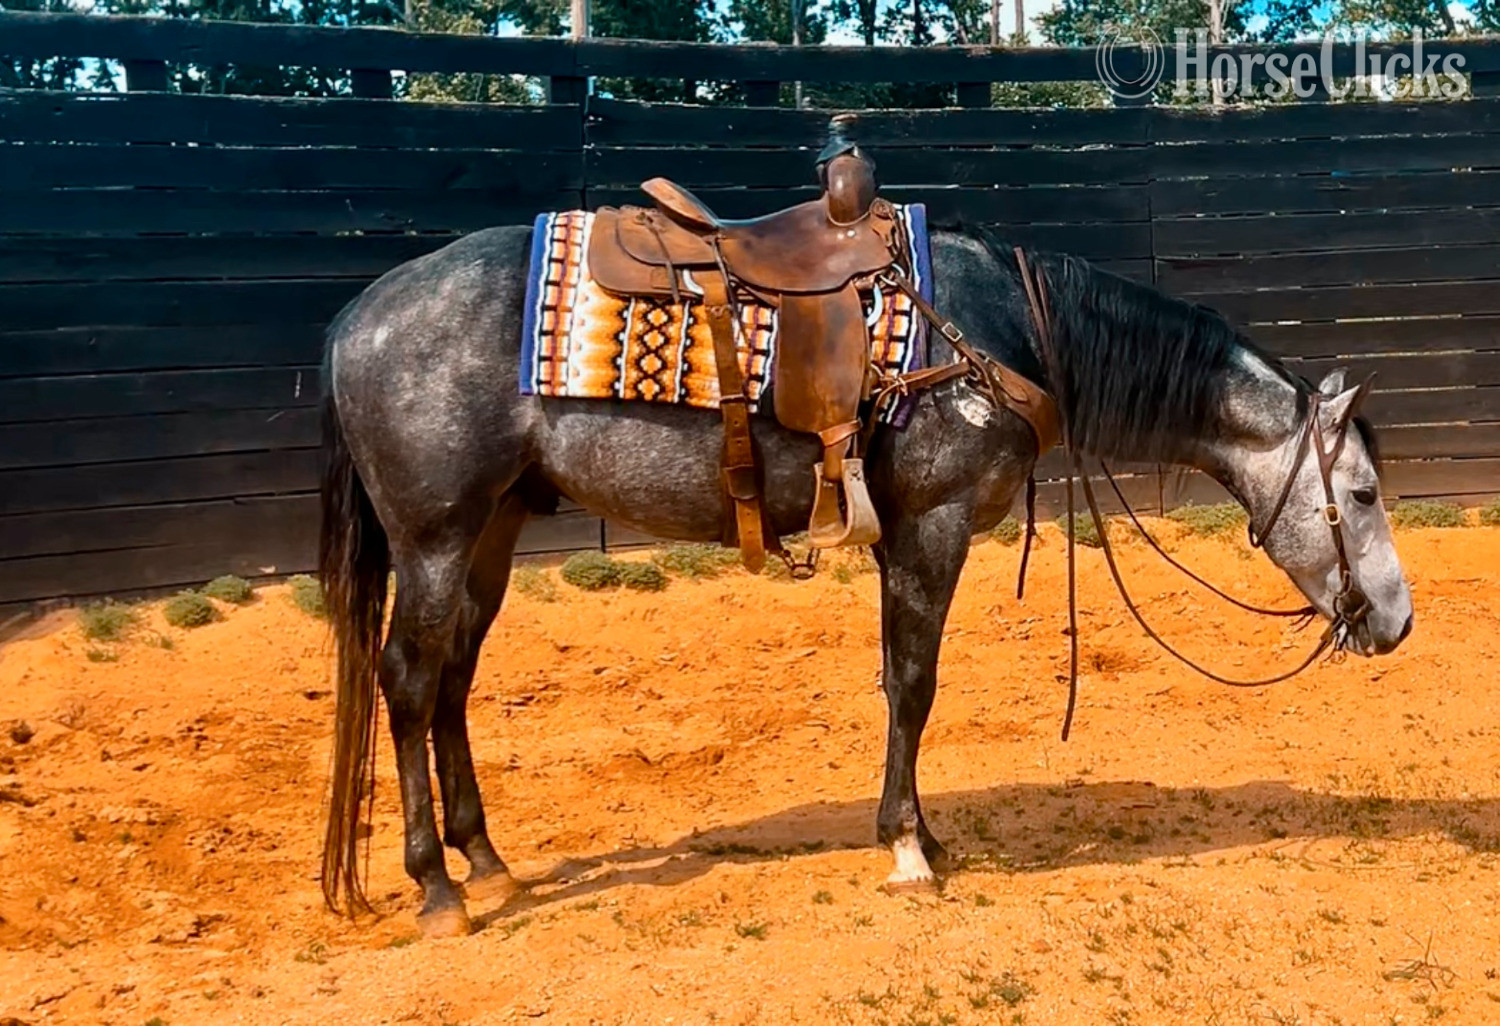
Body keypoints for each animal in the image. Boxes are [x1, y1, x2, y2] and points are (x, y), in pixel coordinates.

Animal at [317, 222, 1414, 937]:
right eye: (1361, 493)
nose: (1399, 622)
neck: (998, 336)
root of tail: (358, 315)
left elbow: (896, 681)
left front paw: (921, 833)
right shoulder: (931, 528)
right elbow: (916, 687)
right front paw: (908, 849)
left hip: (492, 529)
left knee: (452, 683)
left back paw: (489, 864)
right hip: (435, 536)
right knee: (408, 682)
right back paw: (436, 889)